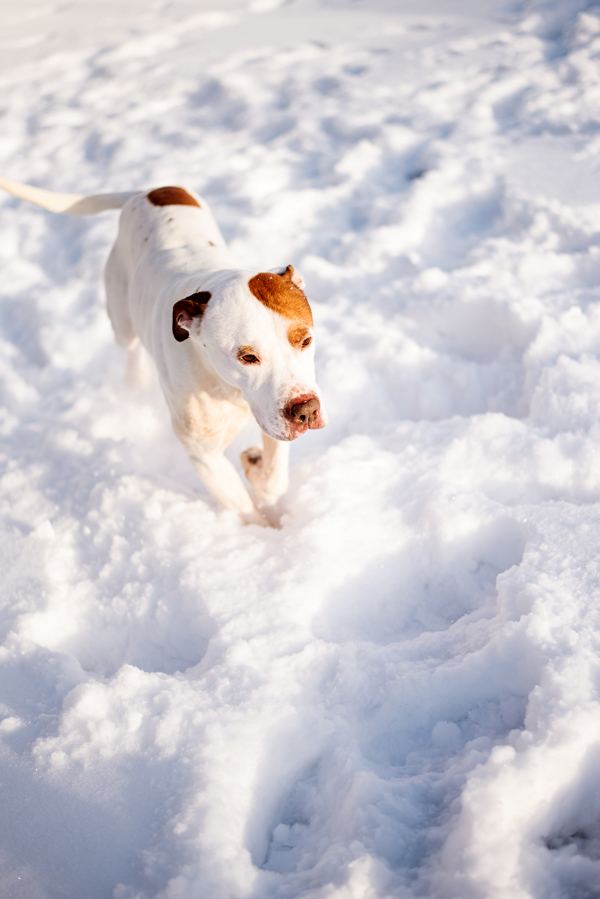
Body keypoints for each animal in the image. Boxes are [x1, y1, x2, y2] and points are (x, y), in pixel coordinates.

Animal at [0, 178, 326, 528]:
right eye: (247, 357)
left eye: (305, 341)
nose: (306, 410)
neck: (228, 388)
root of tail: (147, 191)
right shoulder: (204, 454)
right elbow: (243, 508)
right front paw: (264, 531)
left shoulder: (274, 415)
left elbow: (275, 477)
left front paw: (257, 470)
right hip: (121, 316)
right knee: (130, 350)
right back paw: (134, 382)